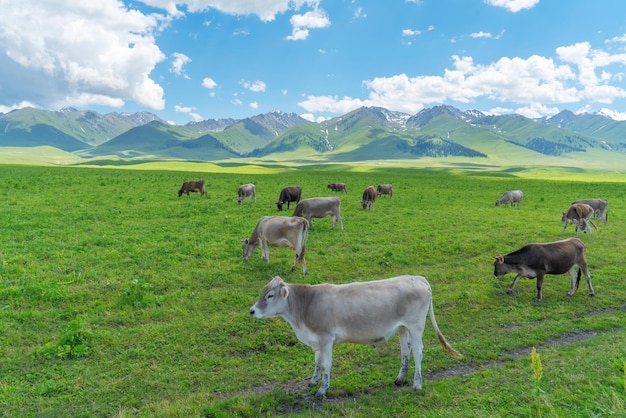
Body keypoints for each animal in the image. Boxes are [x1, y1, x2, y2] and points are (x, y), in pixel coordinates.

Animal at [247, 276, 458, 396]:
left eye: (270, 295)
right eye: (262, 292)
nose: (252, 311)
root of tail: (416, 278)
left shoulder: (326, 338)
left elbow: (326, 364)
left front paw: (322, 390)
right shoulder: (317, 339)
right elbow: (317, 362)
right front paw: (313, 382)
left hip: (416, 326)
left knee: (418, 352)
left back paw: (417, 384)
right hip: (402, 328)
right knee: (406, 351)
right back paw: (400, 379)